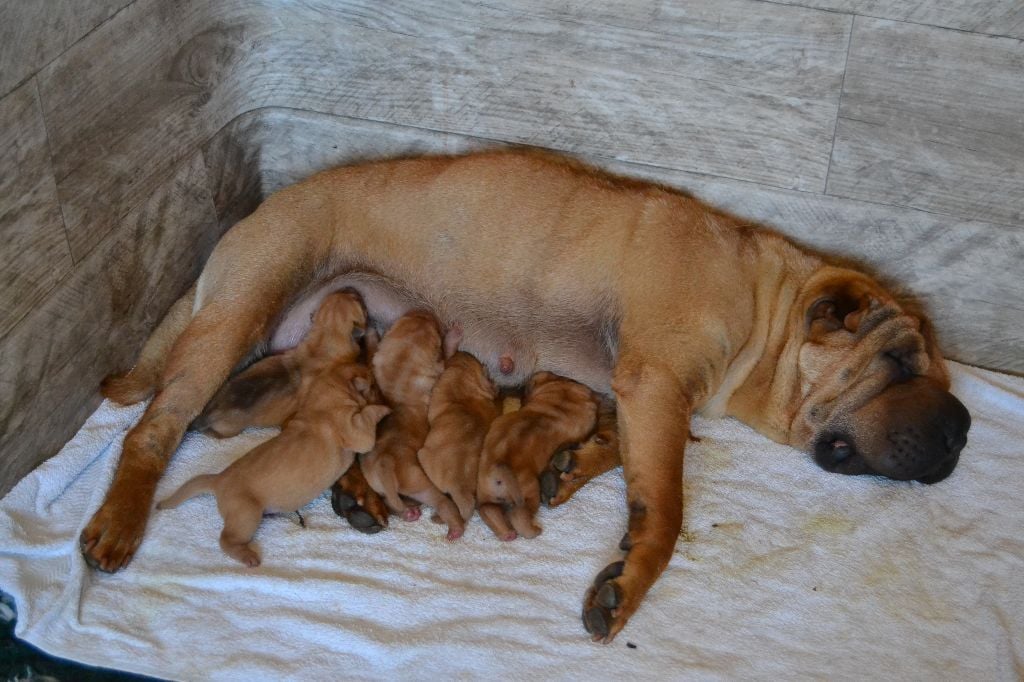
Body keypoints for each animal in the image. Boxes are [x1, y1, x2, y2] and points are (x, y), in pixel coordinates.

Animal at [157, 360, 389, 561]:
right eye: (374, 384)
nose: (383, 391)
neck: (321, 399)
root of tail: (219, 479)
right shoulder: (356, 431)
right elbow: (368, 416)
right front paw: (384, 409)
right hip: (246, 514)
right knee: (226, 540)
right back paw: (248, 556)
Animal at [192, 286, 368, 436]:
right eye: (357, 301)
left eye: (344, 294)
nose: (352, 288)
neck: (324, 337)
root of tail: (206, 415)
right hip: (230, 429)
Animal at [354, 311, 462, 540]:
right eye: (435, 332)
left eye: (401, 321)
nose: (424, 312)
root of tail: (385, 464)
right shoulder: (439, 370)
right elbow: (447, 357)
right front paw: (453, 336)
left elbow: (373, 351)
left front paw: (371, 331)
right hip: (419, 482)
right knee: (441, 501)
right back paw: (455, 526)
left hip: (378, 486)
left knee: (390, 501)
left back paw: (408, 513)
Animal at [477, 368, 598, 540]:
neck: (560, 402)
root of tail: (501, 467)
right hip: (530, 493)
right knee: (518, 517)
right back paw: (534, 531)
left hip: (486, 495)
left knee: (489, 511)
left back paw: (507, 534)